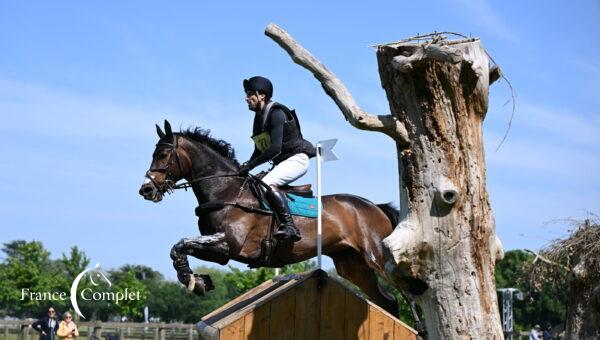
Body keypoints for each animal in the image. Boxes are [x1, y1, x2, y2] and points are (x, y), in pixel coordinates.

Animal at [138, 121, 414, 318]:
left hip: (377, 258)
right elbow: (180, 247)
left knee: (408, 293)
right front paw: (199, 281)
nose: (146, 190)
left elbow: (180, 244)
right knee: (387, 301)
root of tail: (375, 206)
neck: (226, 191)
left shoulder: (228, 245)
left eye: (162, 155)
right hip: (352, 265)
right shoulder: (219, 250)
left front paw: (194, 282)